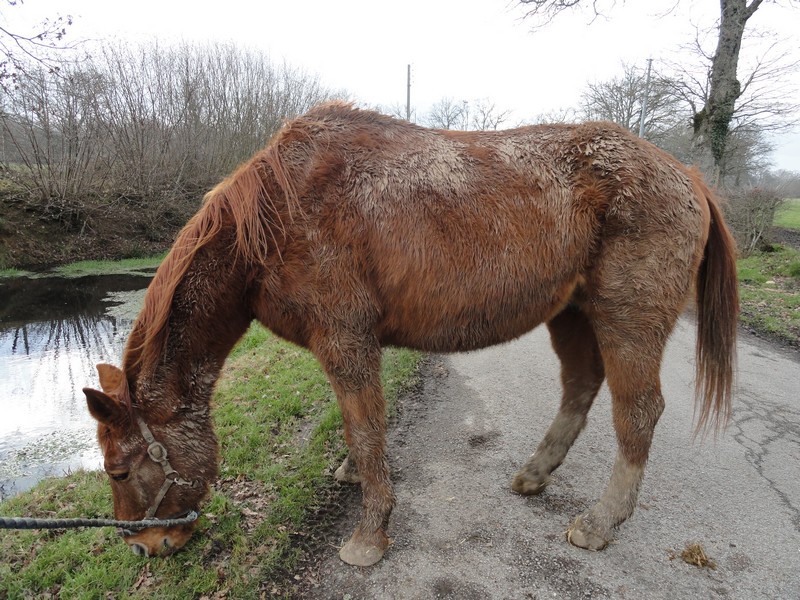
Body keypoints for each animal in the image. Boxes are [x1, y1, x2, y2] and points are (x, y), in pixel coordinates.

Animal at [83, 102, 736, 568]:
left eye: (119, 472)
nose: (144, 547)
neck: (275, 217)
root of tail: (689, 177)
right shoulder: (344, 346)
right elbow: (357, 422)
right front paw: (353, 473)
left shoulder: (346, 341)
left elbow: (367, 428)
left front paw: (370, 535)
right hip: (572, 315)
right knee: (580, 388)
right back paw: (535, 473)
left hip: (627, 322)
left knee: (638, 413)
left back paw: (600, 523)